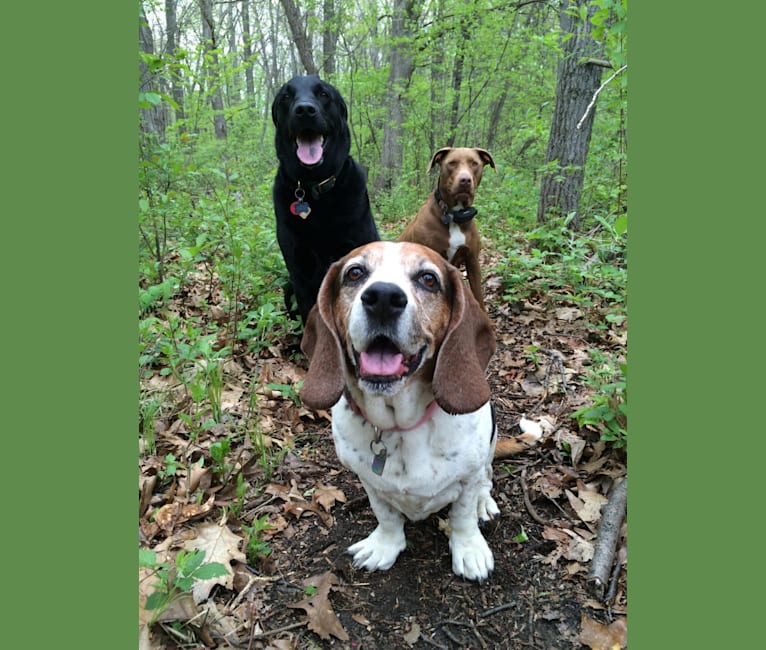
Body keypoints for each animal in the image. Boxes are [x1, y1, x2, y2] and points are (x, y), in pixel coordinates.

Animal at [396, 147, 498, 308]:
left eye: (474, 163)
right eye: (452, 163)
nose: (465, 180)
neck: (454, 215)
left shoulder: (473, 261)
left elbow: (478, 296)